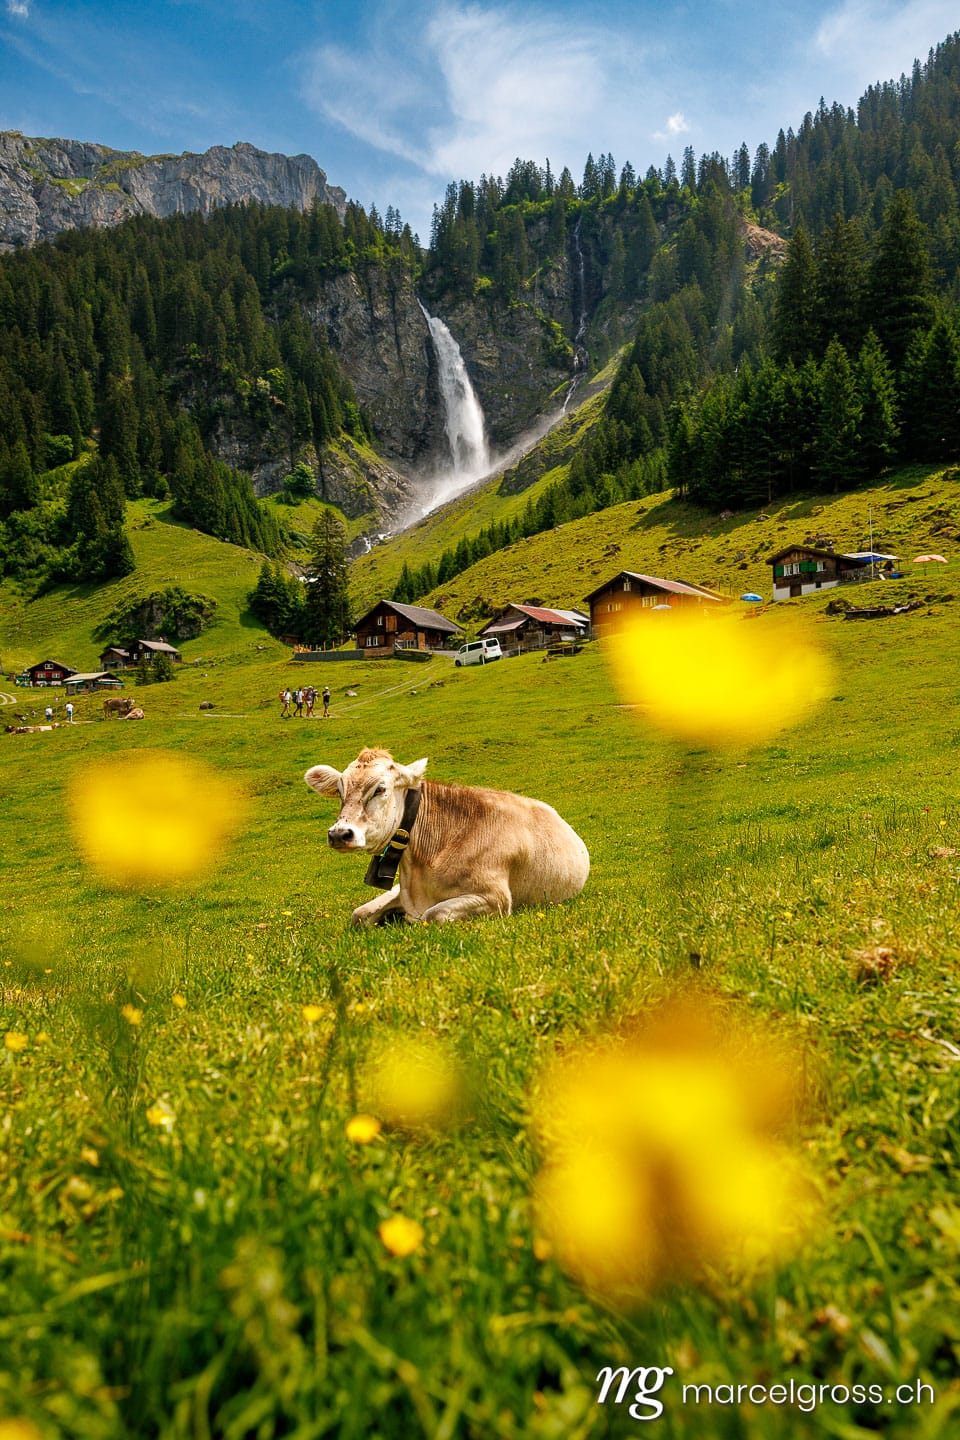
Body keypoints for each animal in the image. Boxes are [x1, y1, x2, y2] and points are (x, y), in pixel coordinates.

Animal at [304, 747, 590, 925]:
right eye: (340, 791)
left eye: (380, 789)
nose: (339, 834)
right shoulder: (401, 891)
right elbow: (359, 915)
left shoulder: (496, 898)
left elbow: (434, 915)